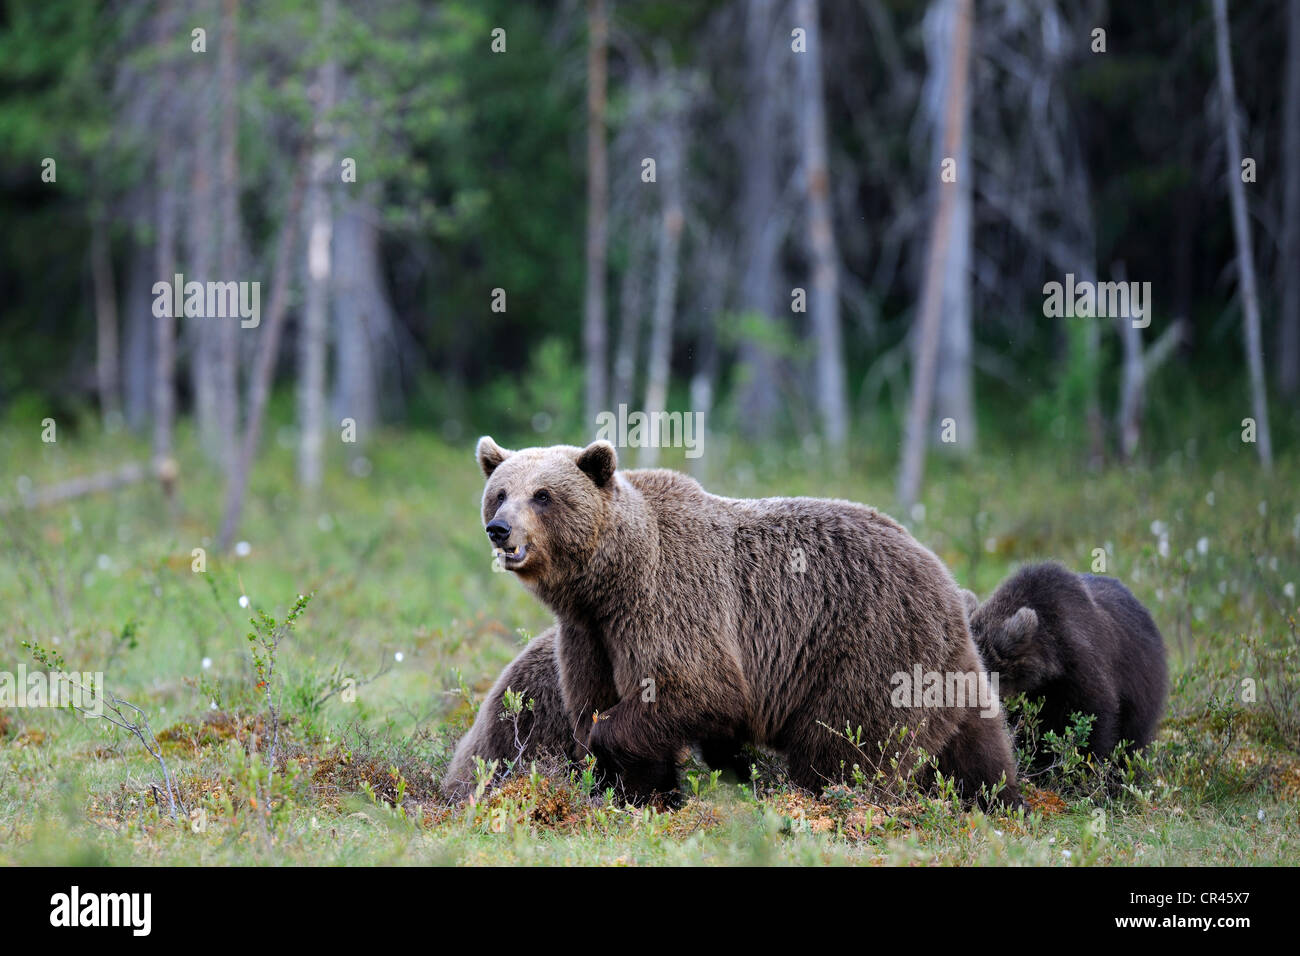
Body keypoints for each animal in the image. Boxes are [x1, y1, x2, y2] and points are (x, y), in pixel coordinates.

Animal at [473, 439, 1019, 806]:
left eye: (543, 495)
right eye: (499, 492)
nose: (499, 529)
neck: (609, 582)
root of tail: (944, 577)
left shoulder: (668, 603)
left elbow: (695, 688)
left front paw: (628, 765)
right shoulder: (590, 635)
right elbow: (594, 704)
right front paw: (637, 792)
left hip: (871, 648)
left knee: (847, 745)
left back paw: (832, 799)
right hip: (947, 669)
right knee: (979, 746)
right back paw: (998, 797)